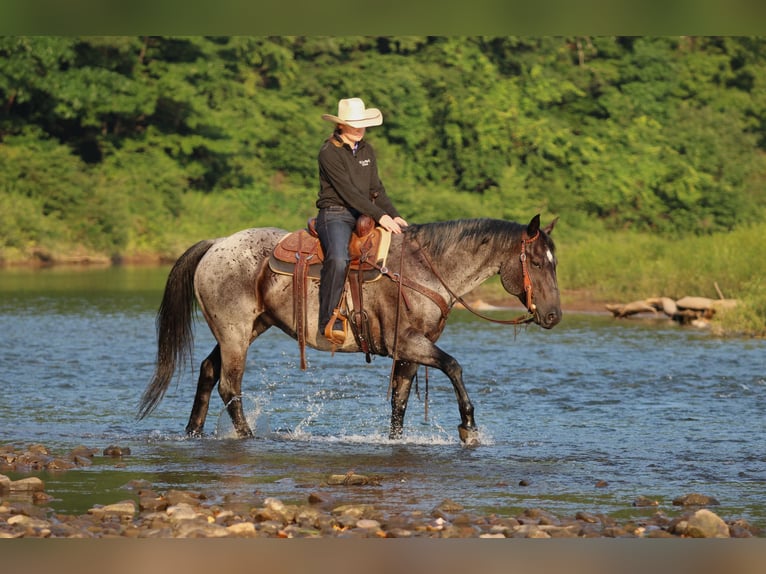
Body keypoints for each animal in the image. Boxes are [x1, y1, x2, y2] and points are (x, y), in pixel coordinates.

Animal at [138, 214, 561, 444]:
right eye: (538, 263)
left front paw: (395, 440)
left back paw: (193, 432)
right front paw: (469, 427)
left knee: (210, 371)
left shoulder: (410, 350)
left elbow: (399, 401)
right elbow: (454, 367)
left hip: (247, 328)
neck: (424, 270)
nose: (555, 316)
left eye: (555, 263)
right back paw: (246, 436)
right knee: (229, 384)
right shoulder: (410, 343)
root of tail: (216, 244)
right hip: (236, 331)